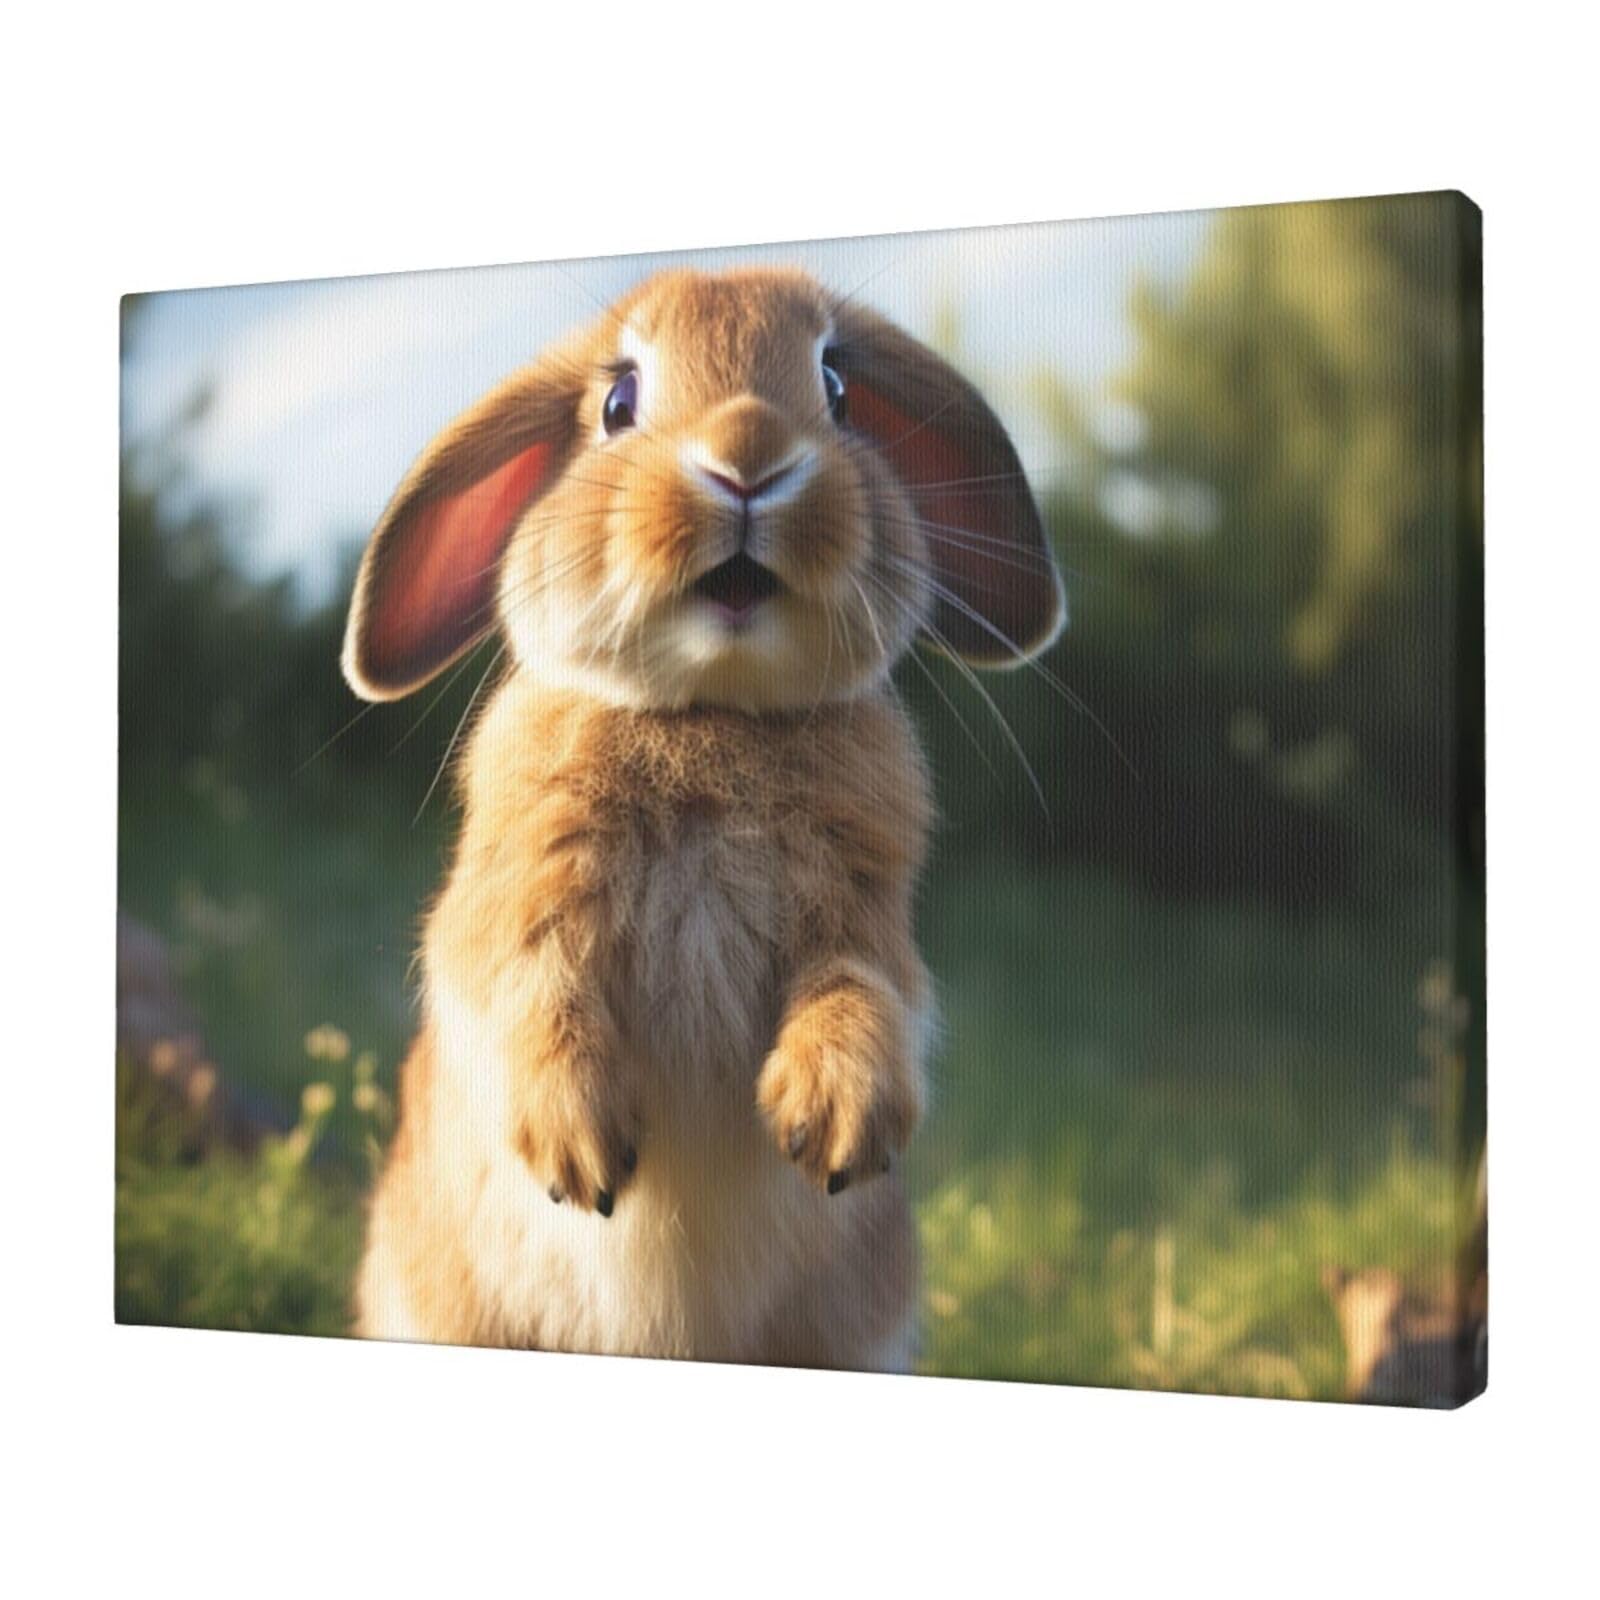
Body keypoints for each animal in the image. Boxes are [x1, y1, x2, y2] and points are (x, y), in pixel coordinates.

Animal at [342, 266, 1064, 1368]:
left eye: (837, 390)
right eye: (617, 402)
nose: (748, 459)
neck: (710, 713)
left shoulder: (863, 921)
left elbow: (861, 995)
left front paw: (831, 1128)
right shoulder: (511, 910)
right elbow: (531, 991)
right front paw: (580, 1156)